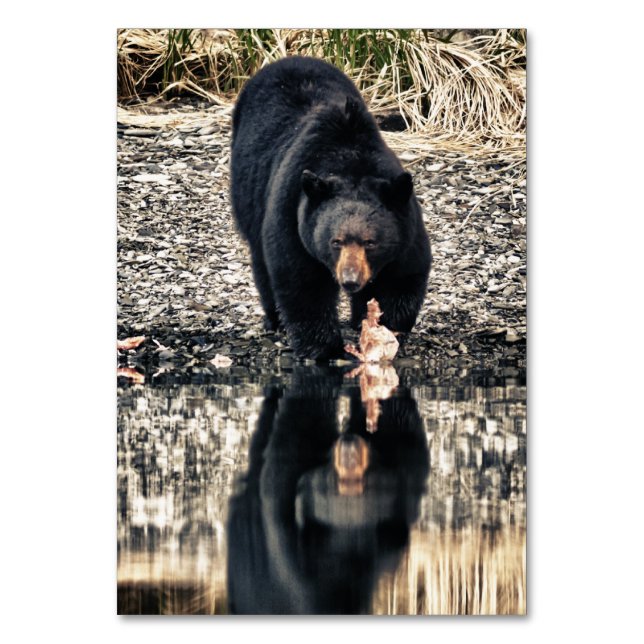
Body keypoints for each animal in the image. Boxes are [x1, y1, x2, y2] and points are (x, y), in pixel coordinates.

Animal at [230, 56, 432, 360]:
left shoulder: (405, 223)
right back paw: (275, 319)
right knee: (261, 257)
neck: (350, 159)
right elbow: (302, 283)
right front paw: (326, 349)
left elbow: (401, 278)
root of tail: (290, 59)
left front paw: (384, 333)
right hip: (248, 192)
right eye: (335, 241)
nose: (350, 280)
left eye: (370, 242)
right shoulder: (293, 212)